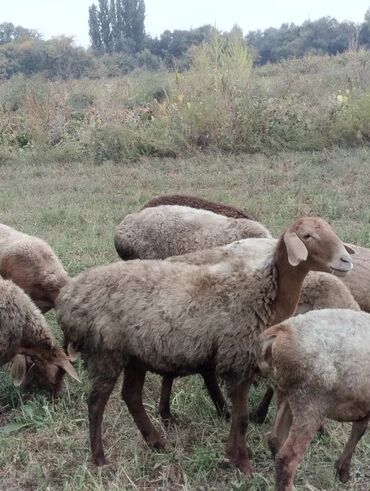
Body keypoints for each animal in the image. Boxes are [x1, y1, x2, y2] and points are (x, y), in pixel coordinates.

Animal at [56, 217, 354, 470]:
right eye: (307, 236)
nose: (346, 260)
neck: (262, 292)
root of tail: (68, 296)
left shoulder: (243, 362)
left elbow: (239, 416)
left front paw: (234, 455)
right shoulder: (237, 359)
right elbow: (242, 418)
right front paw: (242, 462)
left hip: (135, 354)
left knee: (131, 396)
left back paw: (157, 442)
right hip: (105, 351)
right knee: (96, 404)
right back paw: (99, 458)